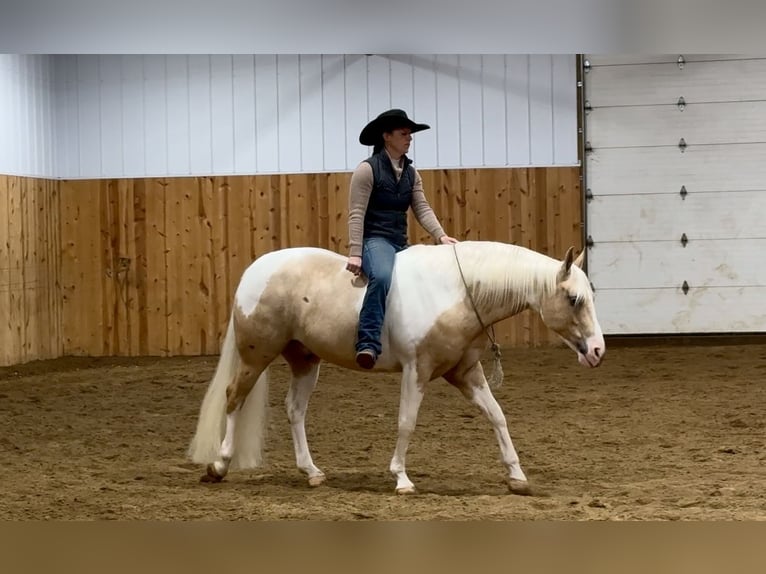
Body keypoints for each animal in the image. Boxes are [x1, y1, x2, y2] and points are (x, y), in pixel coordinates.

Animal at [188, 241, 608, 498]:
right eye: (574, 299)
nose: (598, 351)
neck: (455, 292)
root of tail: (253, 272)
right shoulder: (416, 370)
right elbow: (407, 422)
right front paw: (402, 478)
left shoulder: (465, 373)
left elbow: (497, 416)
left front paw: (517, 477)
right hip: (256, 356)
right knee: (234, 399)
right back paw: (219, 465)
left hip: (305, 361)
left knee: (295, 411)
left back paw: (312, 472)